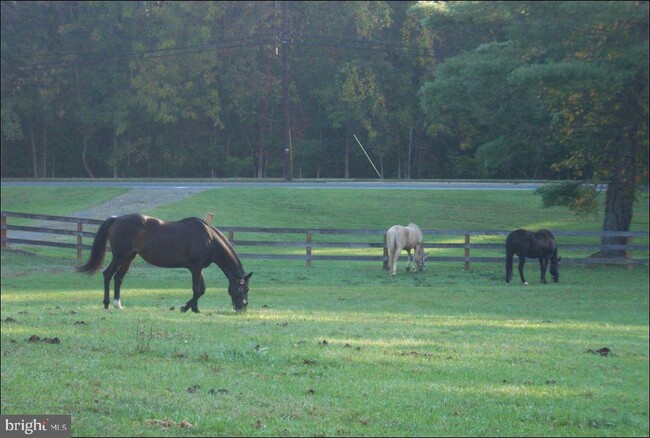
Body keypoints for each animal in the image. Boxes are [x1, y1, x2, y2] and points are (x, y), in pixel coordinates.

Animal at [78, 215, 253, 312]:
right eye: (245, 289)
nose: (242, 309)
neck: (208, 238)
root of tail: (116, 219)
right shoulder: (195, 268)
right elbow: (197, 289)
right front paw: (185, 308)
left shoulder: (198, 268)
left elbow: (201, 289)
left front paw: (195, 309)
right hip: (120, 256)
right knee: (108, 274)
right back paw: (107, 304)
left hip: (129, 257)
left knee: (118, 278)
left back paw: (118, 305)